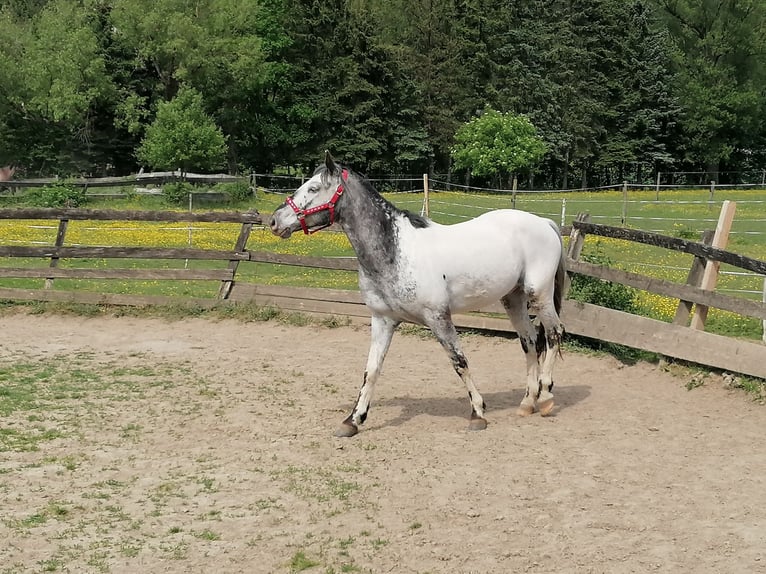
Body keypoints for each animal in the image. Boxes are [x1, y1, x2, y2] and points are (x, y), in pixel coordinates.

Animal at [268, 151, 564, 438]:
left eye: (313, 187)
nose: (274, 221)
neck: (395, 251)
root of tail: (545, 223)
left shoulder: (438, 317)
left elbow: (459, 361)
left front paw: (478, 414)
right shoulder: (382, 320)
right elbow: (371, 370)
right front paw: (353, 420)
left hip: (538, 293)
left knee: (553, 333)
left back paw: (546, 398)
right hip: (513, 298)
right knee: (529, 341)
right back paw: (527, 402)